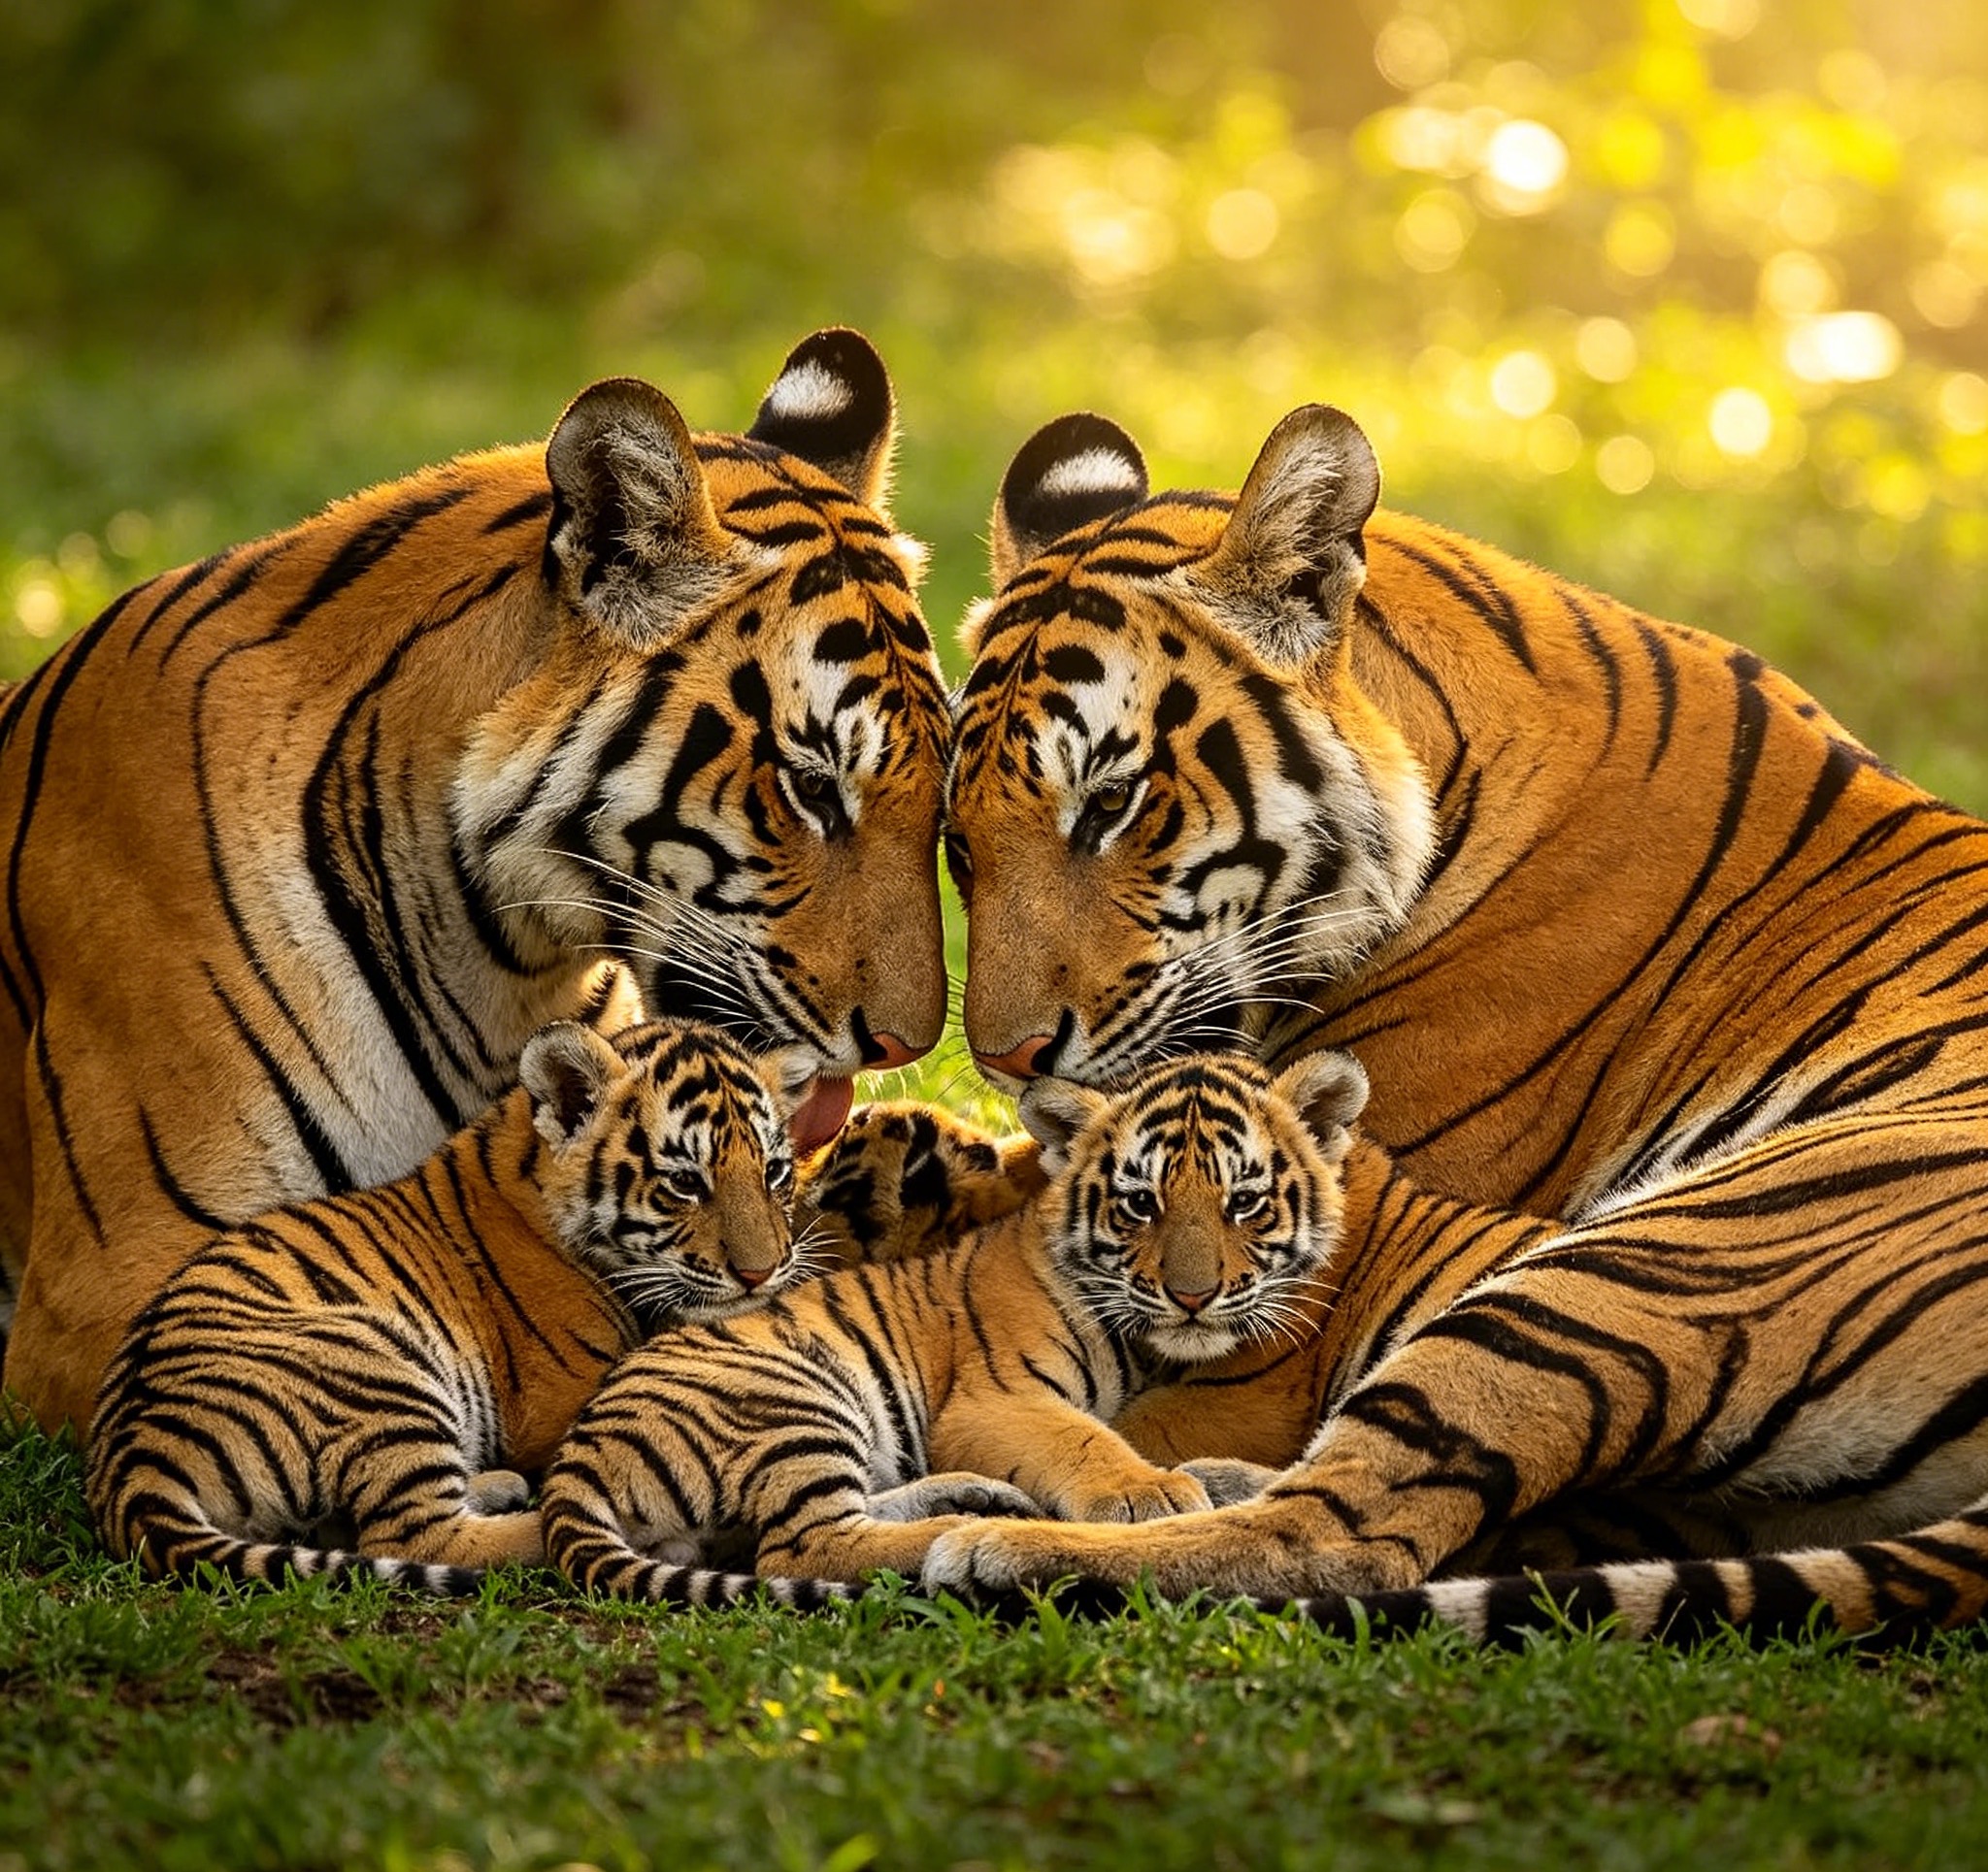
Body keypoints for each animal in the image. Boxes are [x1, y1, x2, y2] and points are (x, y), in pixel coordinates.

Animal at [85, 1016, 809, 1589]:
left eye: (774, 1171)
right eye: (685, 1182)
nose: (762, 1272)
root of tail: (133, 1460)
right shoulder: (563, 1404)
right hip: (377, 1363)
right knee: (416, 1535)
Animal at [538, 1047, 1370, 1604]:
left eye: (1244, 1204)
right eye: (1141, 1204)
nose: (1193, 1296)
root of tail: (578, 1455)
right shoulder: (994, 1397)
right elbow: (1083, 1436)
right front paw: (1150, 1494)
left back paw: (979, 1502)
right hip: (790, 1398)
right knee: (805, 1545)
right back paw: (953, 1540)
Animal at [924, 402, 1988, 1642]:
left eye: (1107, 804)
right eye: (957, 842)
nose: (1004, 1058)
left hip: (1654, 1262)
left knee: (1337, 1537)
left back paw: (993, 1548)